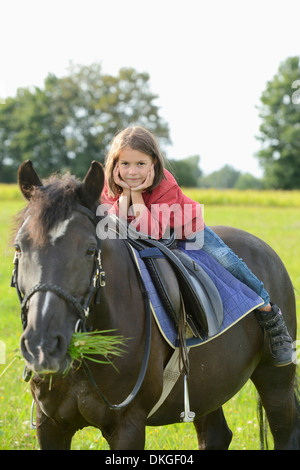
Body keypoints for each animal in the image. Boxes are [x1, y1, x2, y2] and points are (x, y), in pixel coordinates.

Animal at [14, 162, 300, 452]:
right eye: (19, 247)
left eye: (90, 250)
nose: (42, 344)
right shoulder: (50, 425)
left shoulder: (128, 426)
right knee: (216, 435)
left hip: (275, 381)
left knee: (286, 432)